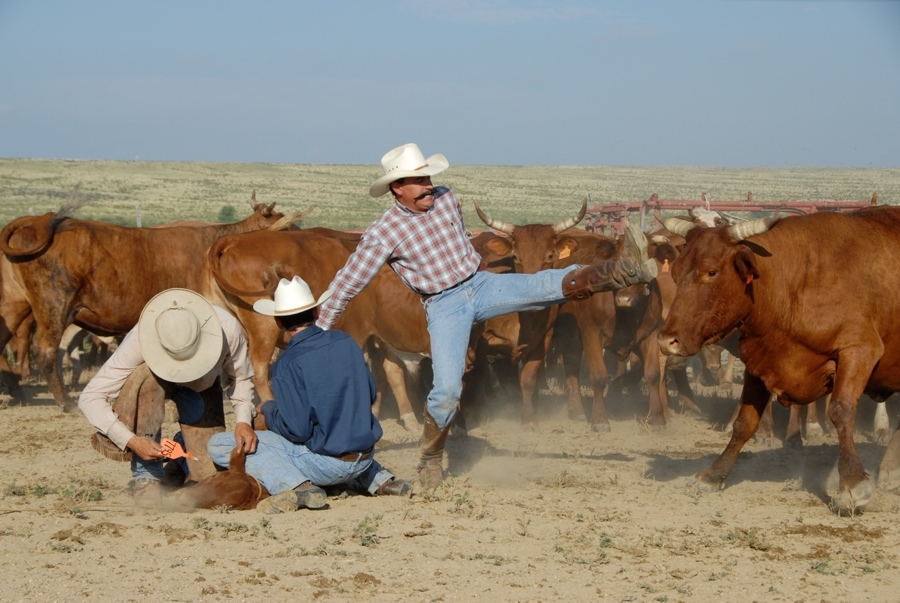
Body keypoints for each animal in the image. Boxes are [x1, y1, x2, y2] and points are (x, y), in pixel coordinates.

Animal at [0, 192, 304, 410]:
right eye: (288, 226)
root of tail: (37, 220)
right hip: (53, 303)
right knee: (44, 350)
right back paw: (64, 401)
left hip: (15, 303)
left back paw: (15, 391)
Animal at [656, 209, 900, 516]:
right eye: (675, 271)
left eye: (711, 272)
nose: (667, 341)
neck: (797, 281)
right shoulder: (759, 360)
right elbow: (744, 422)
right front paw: (714, 474)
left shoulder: (859, 350)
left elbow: (841, 411)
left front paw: (853, 485)